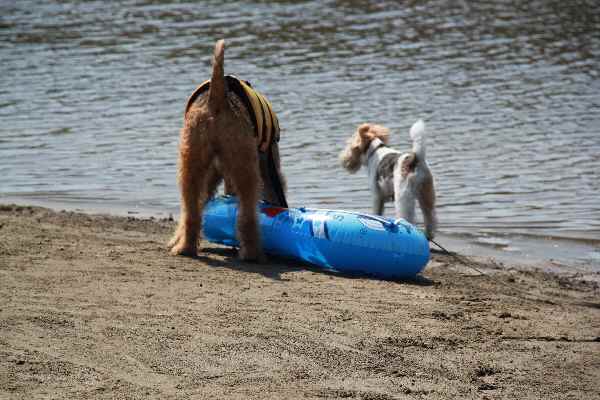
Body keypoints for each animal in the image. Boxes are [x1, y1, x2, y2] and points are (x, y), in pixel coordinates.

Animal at [168, 39, 287, 261]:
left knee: (190, 212)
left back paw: (185, 248)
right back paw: (253, 253)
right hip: (246, 168)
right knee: (247, 215)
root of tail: (217, 99)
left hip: (191, 164)